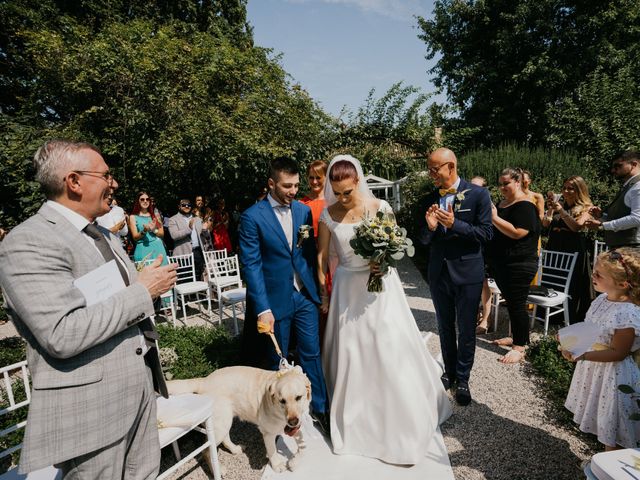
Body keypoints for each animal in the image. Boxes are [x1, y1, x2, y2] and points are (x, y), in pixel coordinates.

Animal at [169, 364, 312, 472]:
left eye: (298, 397)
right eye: (282, 401)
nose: (292, 421)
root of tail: (204, 380)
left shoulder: (298, 425)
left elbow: (304, 446)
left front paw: (294, 462)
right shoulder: (268, 433)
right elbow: (272, 452)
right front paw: (277, 465)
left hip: (225, 420)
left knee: (225, 439)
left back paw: (235, 449)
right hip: (220, 423)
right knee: (206, 452)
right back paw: (220, 470)